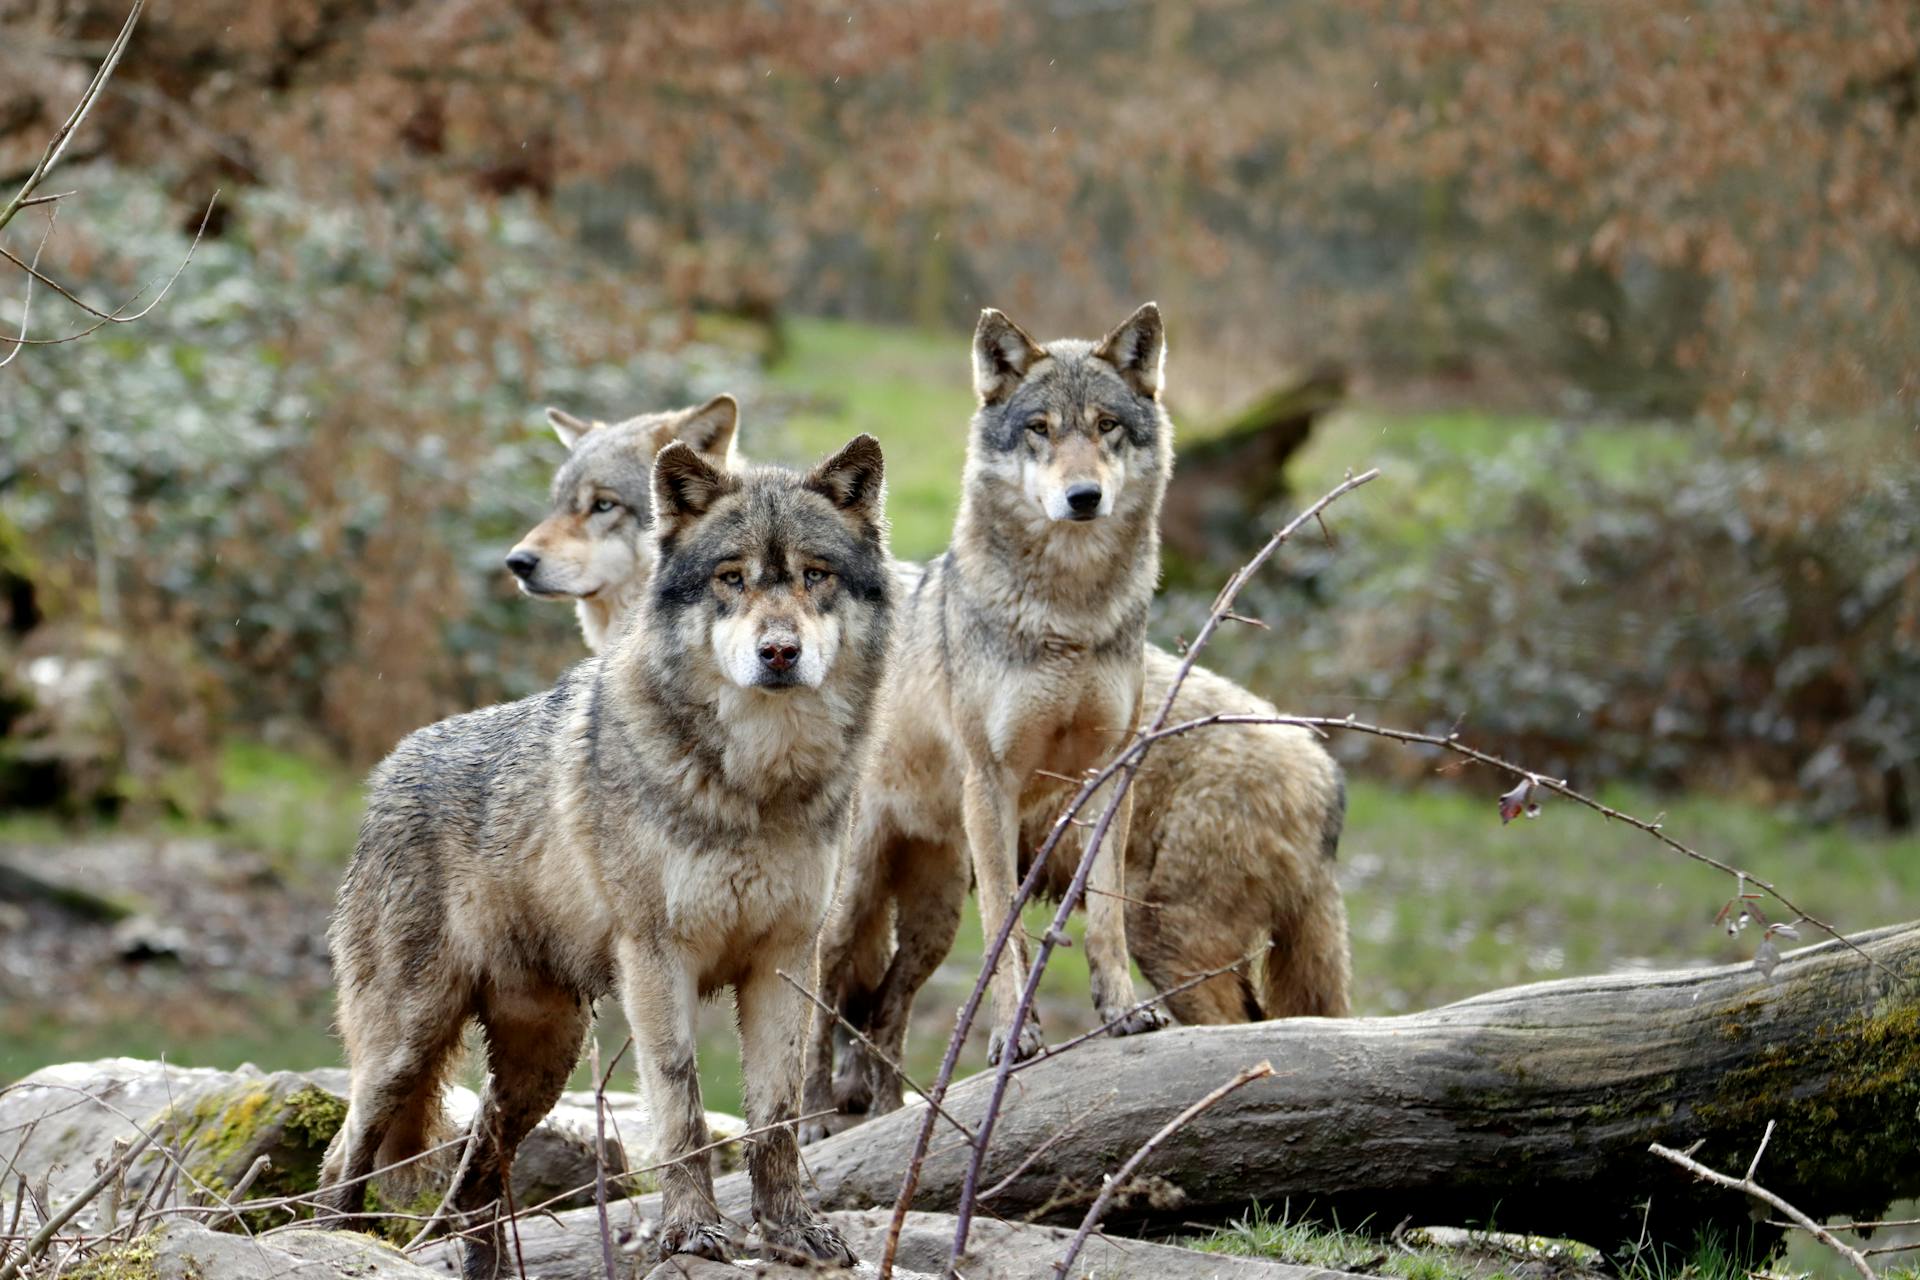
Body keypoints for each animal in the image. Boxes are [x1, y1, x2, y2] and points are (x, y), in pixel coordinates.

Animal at [316, 435, 890, 1274]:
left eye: (815, 575)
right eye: (731, 579)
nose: (779, 653)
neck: (755, 784)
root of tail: (387, 770)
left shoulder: (785, 960)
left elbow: (776, 1120)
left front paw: (791, 1234)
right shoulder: (657, 960)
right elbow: (682, 1107)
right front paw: (692, 1230)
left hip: (541, 1064)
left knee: (474, 1180)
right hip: (405, 1048)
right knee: (344, 1159)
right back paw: (330, 1240)